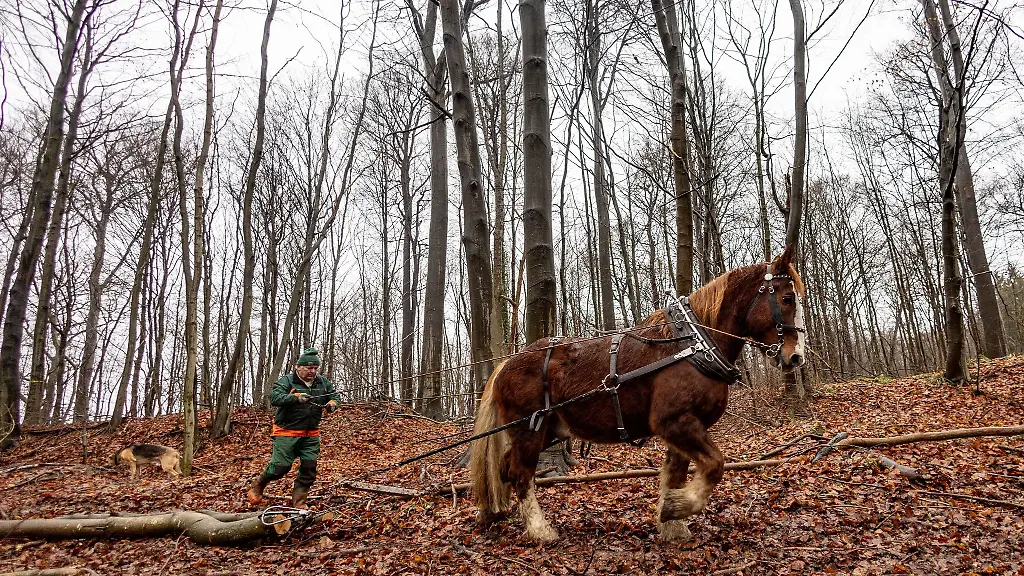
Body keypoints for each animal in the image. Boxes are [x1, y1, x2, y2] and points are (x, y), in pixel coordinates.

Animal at [469, 246, 807, 543]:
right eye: (787, 298)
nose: (796, 357)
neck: (694, 346)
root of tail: (506, 364)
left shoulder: (683, 428)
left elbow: (675, 474)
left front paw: (673, 526)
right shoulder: (674, 422)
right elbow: (714, 465)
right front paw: (676, 508)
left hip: (545, 430)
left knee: (505, 466)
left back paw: (494, 512)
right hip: (529, 429)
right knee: (521, 474)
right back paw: (540, 531)